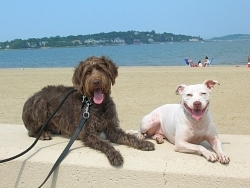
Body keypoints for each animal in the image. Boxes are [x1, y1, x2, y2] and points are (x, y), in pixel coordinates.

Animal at [22, 56, 154, 166]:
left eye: (101, 69)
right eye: (88, 72)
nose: (96, 82)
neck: (96, 105)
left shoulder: (112, 129)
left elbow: (128, 137)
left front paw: (143, 143)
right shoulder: (87, 133)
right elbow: (104, 143)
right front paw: (114, 154)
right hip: (40, 104)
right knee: (31, 132)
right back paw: (43, 133)